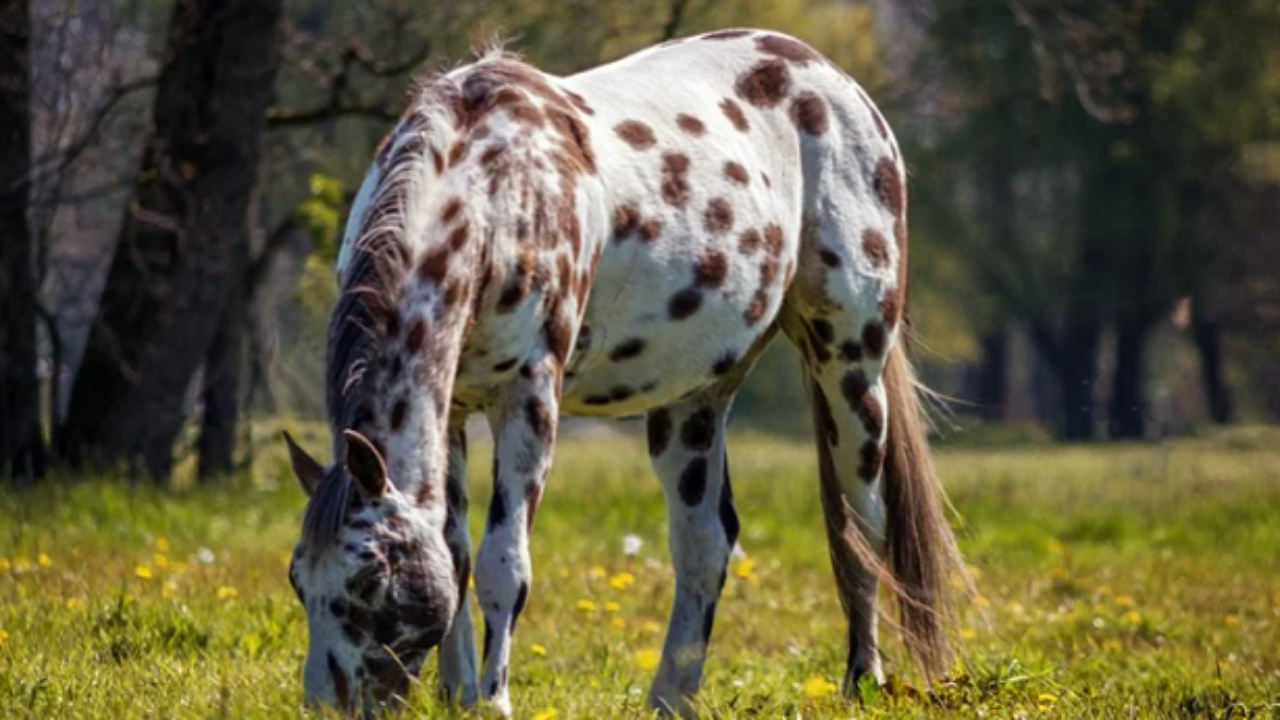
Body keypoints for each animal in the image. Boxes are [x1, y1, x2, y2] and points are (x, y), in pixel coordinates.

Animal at [280, 26, 962, 712]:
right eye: (297, 577)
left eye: (369, 578)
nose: (326, 703)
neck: (495, 192)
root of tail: (832, 79)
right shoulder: (451, 412)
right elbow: (455, 553)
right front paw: (457, 694)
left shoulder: (529, 397)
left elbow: (504, 565)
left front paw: (493, 701)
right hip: (695, 399)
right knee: (704, 544)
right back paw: (671, 699)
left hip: (850, 368)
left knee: (860, 528)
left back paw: (862, 682)